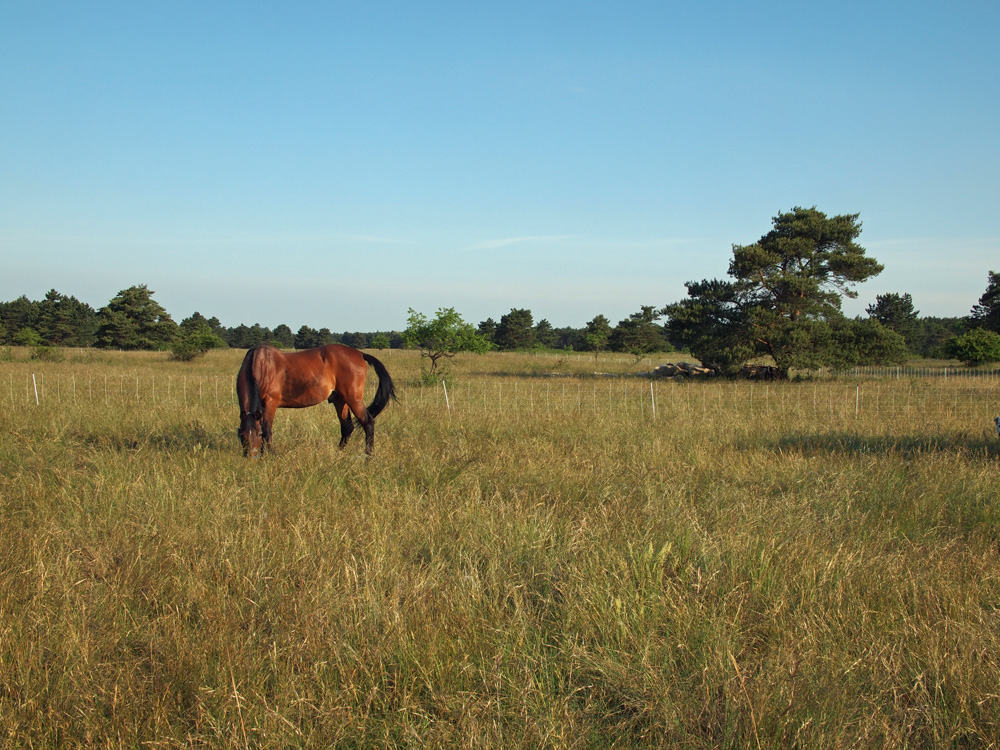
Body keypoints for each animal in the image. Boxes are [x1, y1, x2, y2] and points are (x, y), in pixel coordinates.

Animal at [238, 342, 398, 458]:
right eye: (242, 436)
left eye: (257, 435)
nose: (251, 457)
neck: (262, 364)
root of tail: (360, 354)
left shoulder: (271, 403)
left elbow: (267, 430)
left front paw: (270, 456)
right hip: (340, 401)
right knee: (347, 427)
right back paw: (337, 454)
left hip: (354, 399)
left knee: (368, 422)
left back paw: (369, 457)